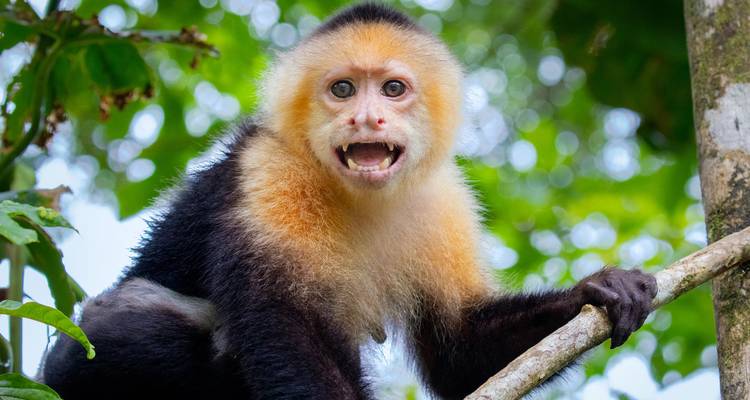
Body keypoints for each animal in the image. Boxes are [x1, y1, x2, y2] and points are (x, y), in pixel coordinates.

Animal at [41, 4, 657, 400]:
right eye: (342, 89)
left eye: (392, 89)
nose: (366, 118)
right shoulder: (269, 173)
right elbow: (285, 326)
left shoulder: (444, 200)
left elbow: (457, 354)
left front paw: (597, 289)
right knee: (128, 322)